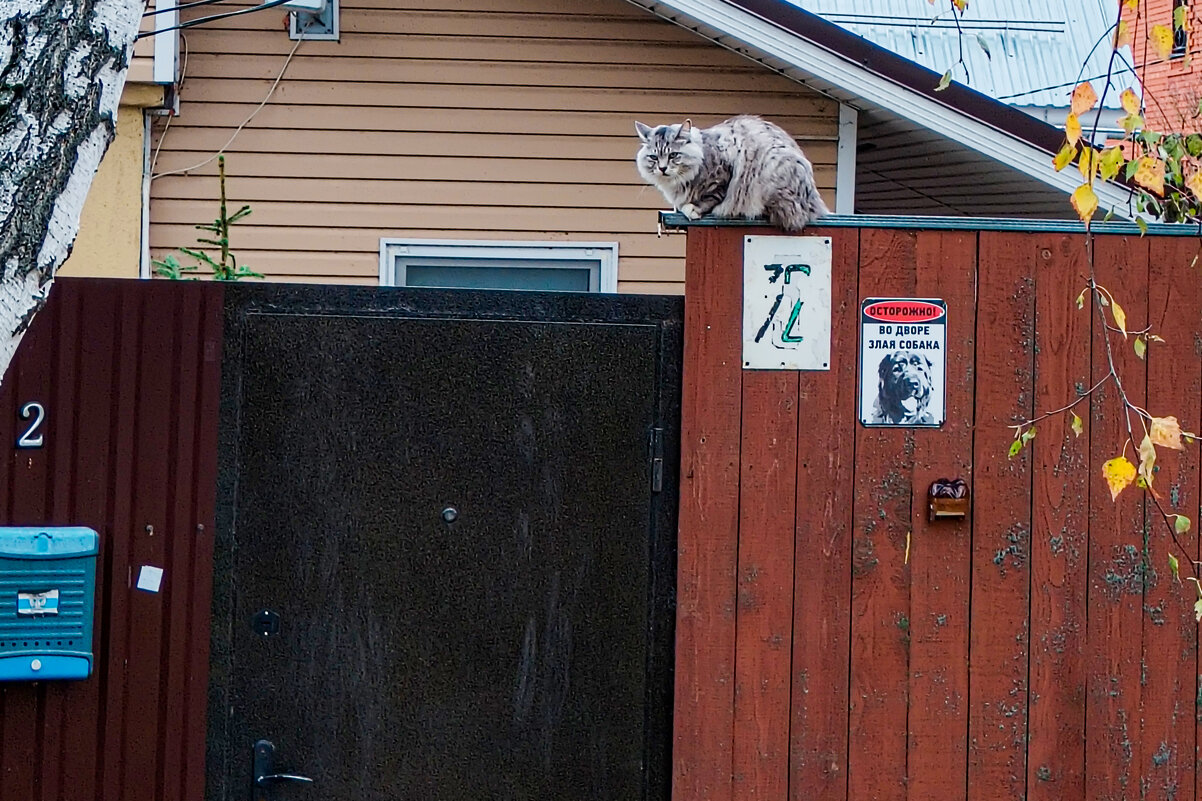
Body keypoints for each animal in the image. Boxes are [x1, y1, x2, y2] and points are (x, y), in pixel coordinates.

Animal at [639, 115, 826, 234]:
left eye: (673, 155)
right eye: (654, 157)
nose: (662, 168)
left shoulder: (723, 172)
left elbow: (712, 196)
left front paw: (693, 208)